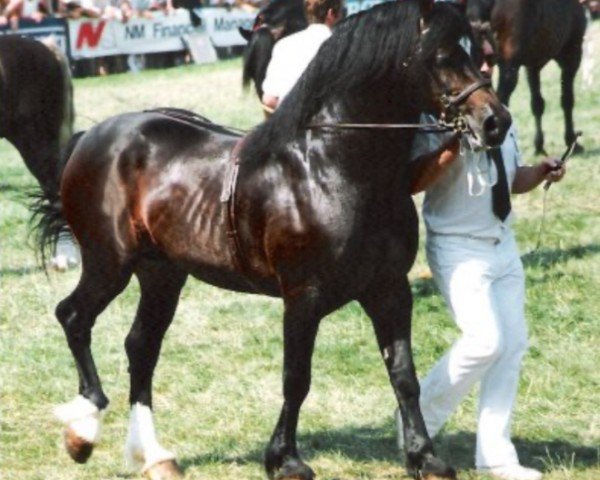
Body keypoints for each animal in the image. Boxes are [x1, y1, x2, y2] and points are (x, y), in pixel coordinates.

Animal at [35, 1, 508, 478]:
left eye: (479, 49)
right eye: (442, 55)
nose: (495, 122)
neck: (331, 169)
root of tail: (92, 138)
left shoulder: (390, 290)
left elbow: (404, 376)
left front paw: (424, 456)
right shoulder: (302, 297)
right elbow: (296, 379)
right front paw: (285, 459)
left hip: (162, 274)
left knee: (141, 347)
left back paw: (153, 454)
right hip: (108, 264)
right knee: (73, 317)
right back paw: (83, 428)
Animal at [468, 0, 584, 154]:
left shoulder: (533, 66)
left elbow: (537, 104)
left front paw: (539, 145)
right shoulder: (572, 55)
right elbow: (567, 100)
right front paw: (571, 141)